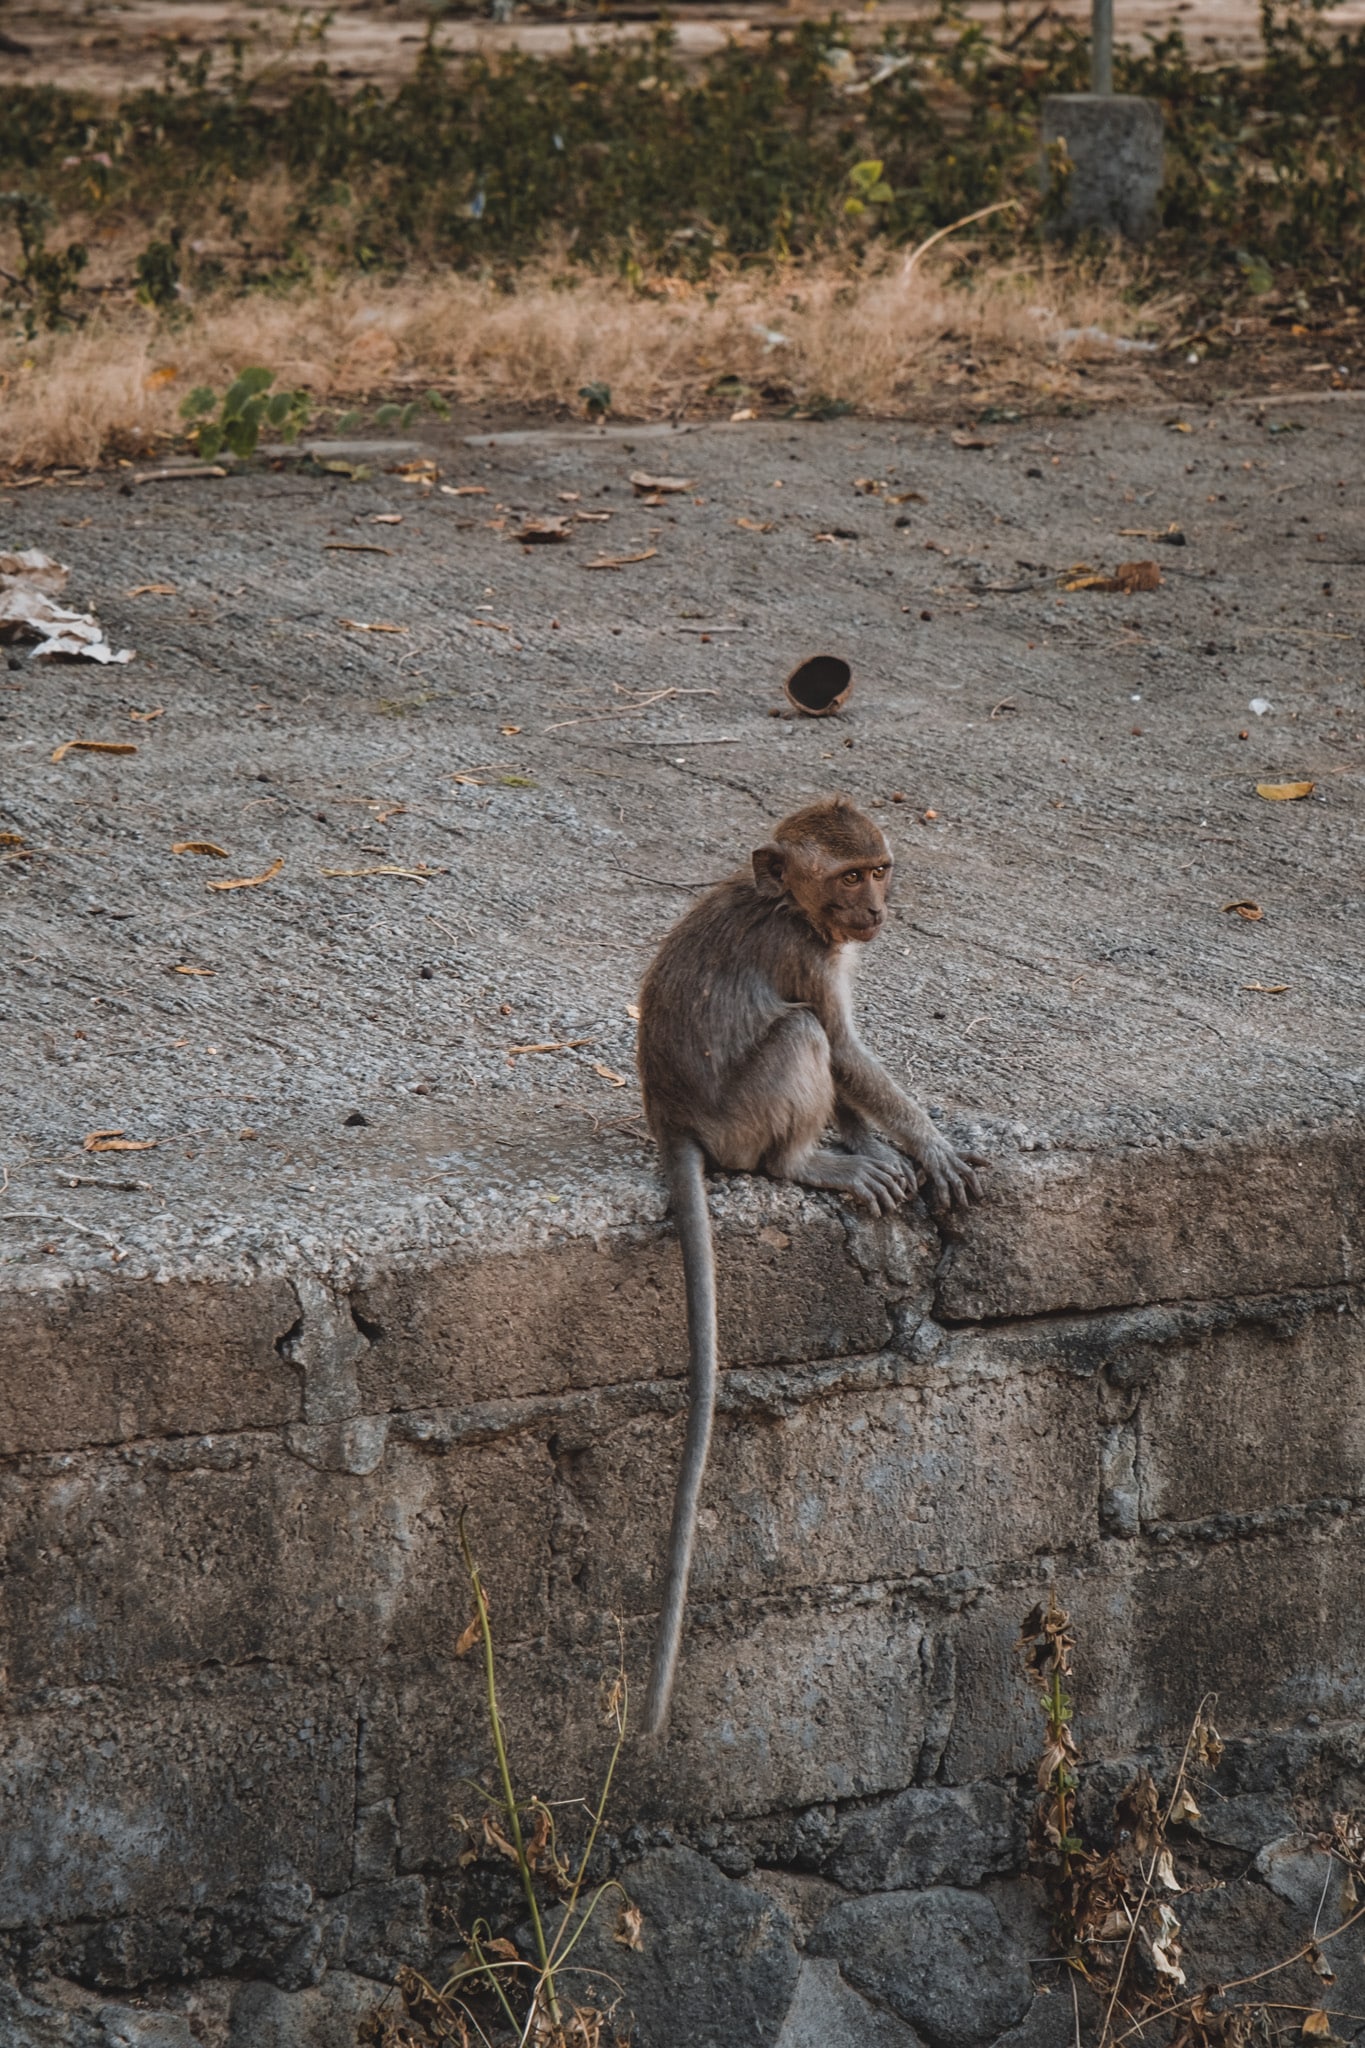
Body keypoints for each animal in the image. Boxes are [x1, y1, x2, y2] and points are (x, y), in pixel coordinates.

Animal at [634, 795, 986, 1739]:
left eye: (879, 869)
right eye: (847, 875)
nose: (875, 909)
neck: (791, 906)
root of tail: (671, 1119)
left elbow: (851, 1069)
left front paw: (885, 1143)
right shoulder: (805, 952)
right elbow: (843, 1046)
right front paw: (929, 1145)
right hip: (743, 1120)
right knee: (799, 1035)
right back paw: (808, 1162)